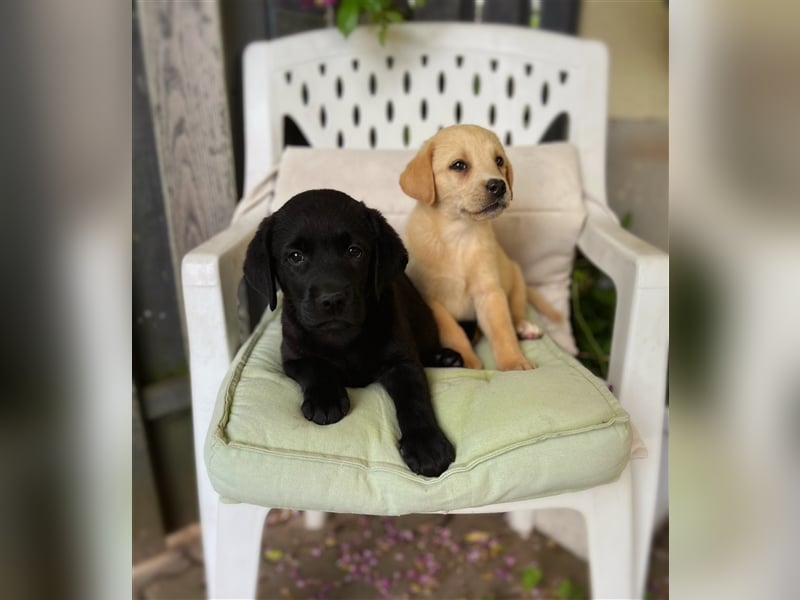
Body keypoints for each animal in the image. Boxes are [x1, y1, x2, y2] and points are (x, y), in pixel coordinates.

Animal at [241, 190, 460, 476]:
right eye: (295, 257)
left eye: (354, 251)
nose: (332, 299)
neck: (342, 338)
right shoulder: (292, 357)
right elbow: (316, 366)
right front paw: (325, 400)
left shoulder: (402, 361)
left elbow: (414, 398)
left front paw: (426, 444)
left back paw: (445, 358)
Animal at [400, 124, 564, 370]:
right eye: (459, 165)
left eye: (498, 160)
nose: (499, 186)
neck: (458, 235)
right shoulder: (430, 299)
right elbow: (452, 332)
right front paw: (468, 361)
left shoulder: (490, 292)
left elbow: (502, 329)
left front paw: (514, 361)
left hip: (515, 278)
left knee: (516, 312)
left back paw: (525, 327)